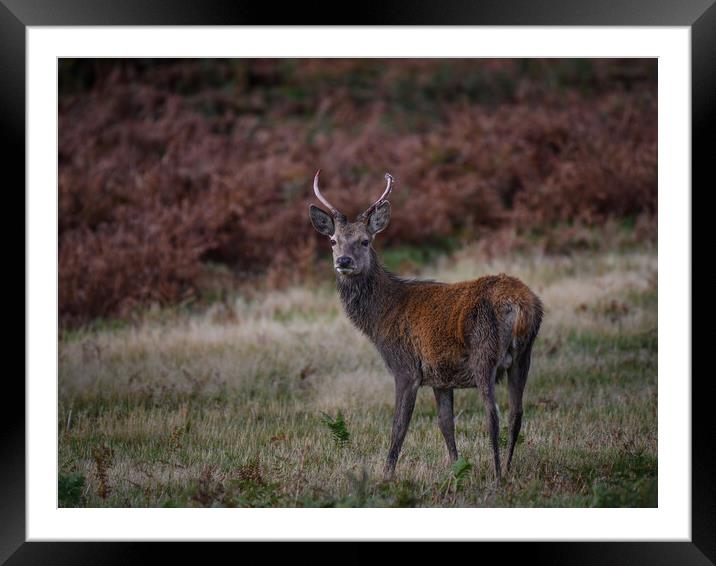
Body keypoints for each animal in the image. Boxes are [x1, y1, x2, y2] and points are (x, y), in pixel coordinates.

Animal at [308, 171, 544, 486]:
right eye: (333, 240)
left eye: (365, 241)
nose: (343, 261)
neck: (382, 316)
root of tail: (522, 305)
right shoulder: (440, 377)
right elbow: (446, 425)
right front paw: (457, 470)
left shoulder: (406, 367)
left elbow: (399, 426)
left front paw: (386, 476)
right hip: (524, 355)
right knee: (516, 413)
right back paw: (506, 469)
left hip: (485, 352)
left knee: (492, 415)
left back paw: (496, 476)